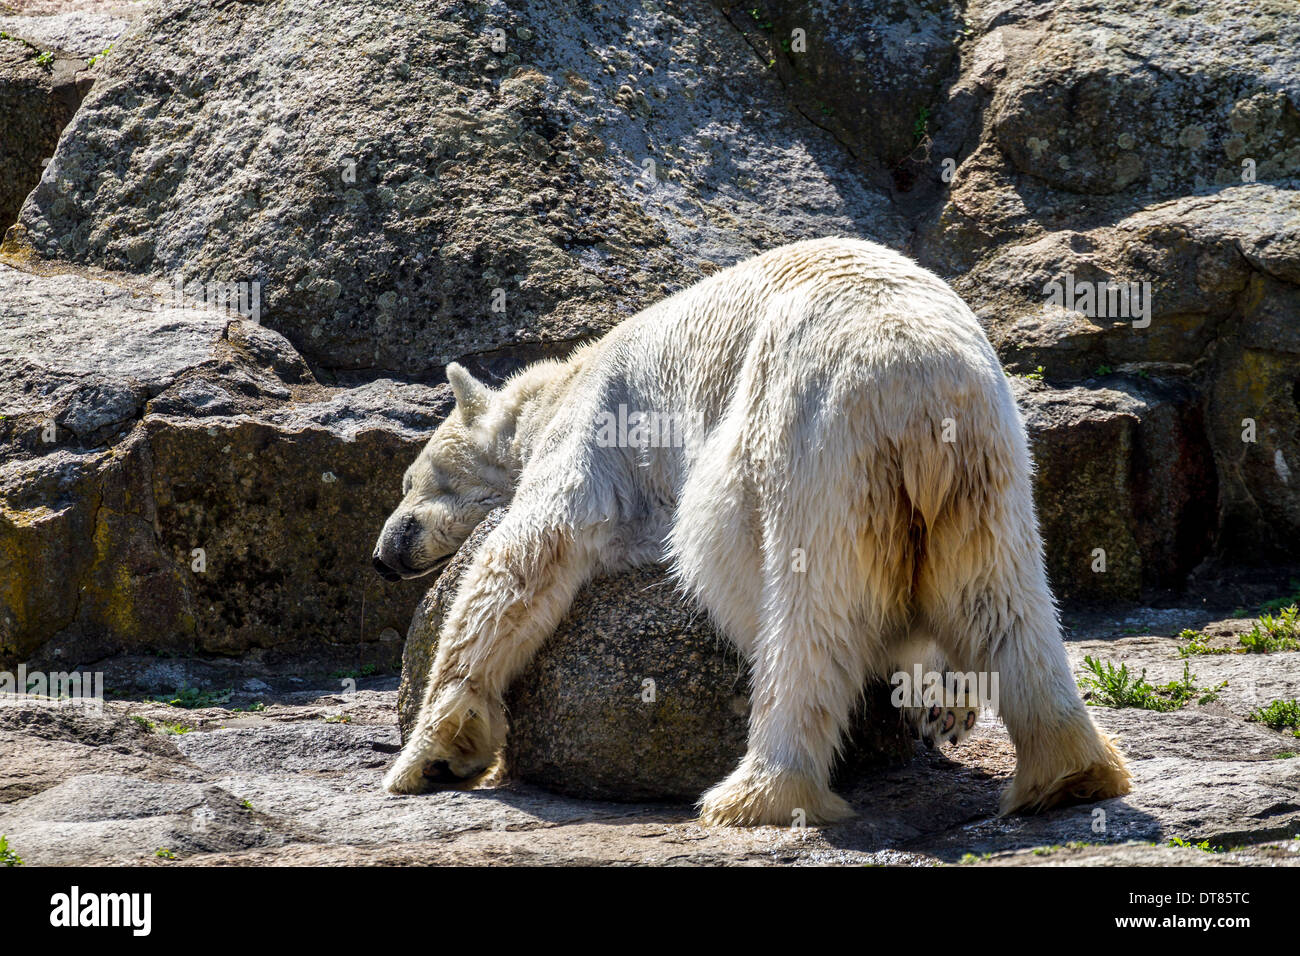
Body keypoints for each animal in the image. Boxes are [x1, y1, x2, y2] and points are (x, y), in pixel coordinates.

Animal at [373, 236, 1131, 826]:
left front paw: (431, 755)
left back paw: (756, 793)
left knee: (783, 596)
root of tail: (915, 384)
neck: (560, 384)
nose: (382, 556)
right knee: (1001, 599)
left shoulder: (598, 431)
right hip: (988, 462)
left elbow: (532, 551)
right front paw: (942, 702)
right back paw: (1070, 773)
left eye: (411, 483)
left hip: (804, 431)